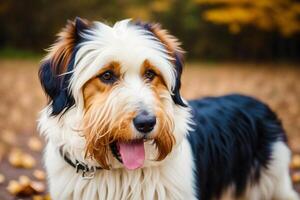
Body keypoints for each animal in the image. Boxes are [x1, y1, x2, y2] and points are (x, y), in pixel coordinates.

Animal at [37, 17, 298, 200]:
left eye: (150, 74)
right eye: (107, 75)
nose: (146, 123)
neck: (119, 173)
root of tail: (259, 102)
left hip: (274, 182)